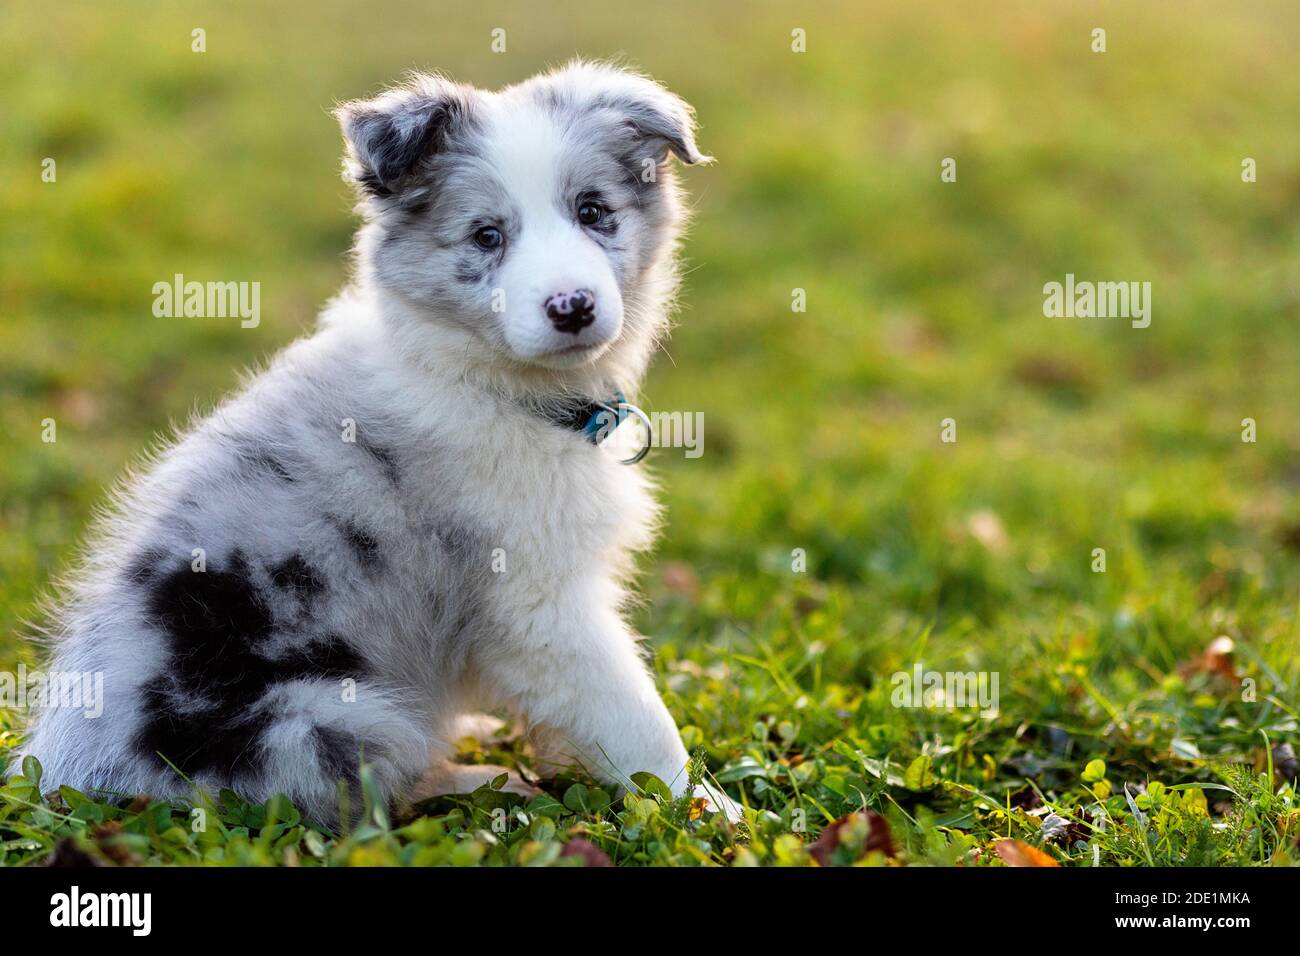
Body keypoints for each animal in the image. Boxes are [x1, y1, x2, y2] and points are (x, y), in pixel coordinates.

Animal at [15, 61, 743, 822]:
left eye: (594, 212)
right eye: (487, 236)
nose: (572, 307)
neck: (486, 380)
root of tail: (70, 776)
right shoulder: (539, 608)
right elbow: (638, 721)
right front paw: (707, 811)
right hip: (334, 716)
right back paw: (479, 777)